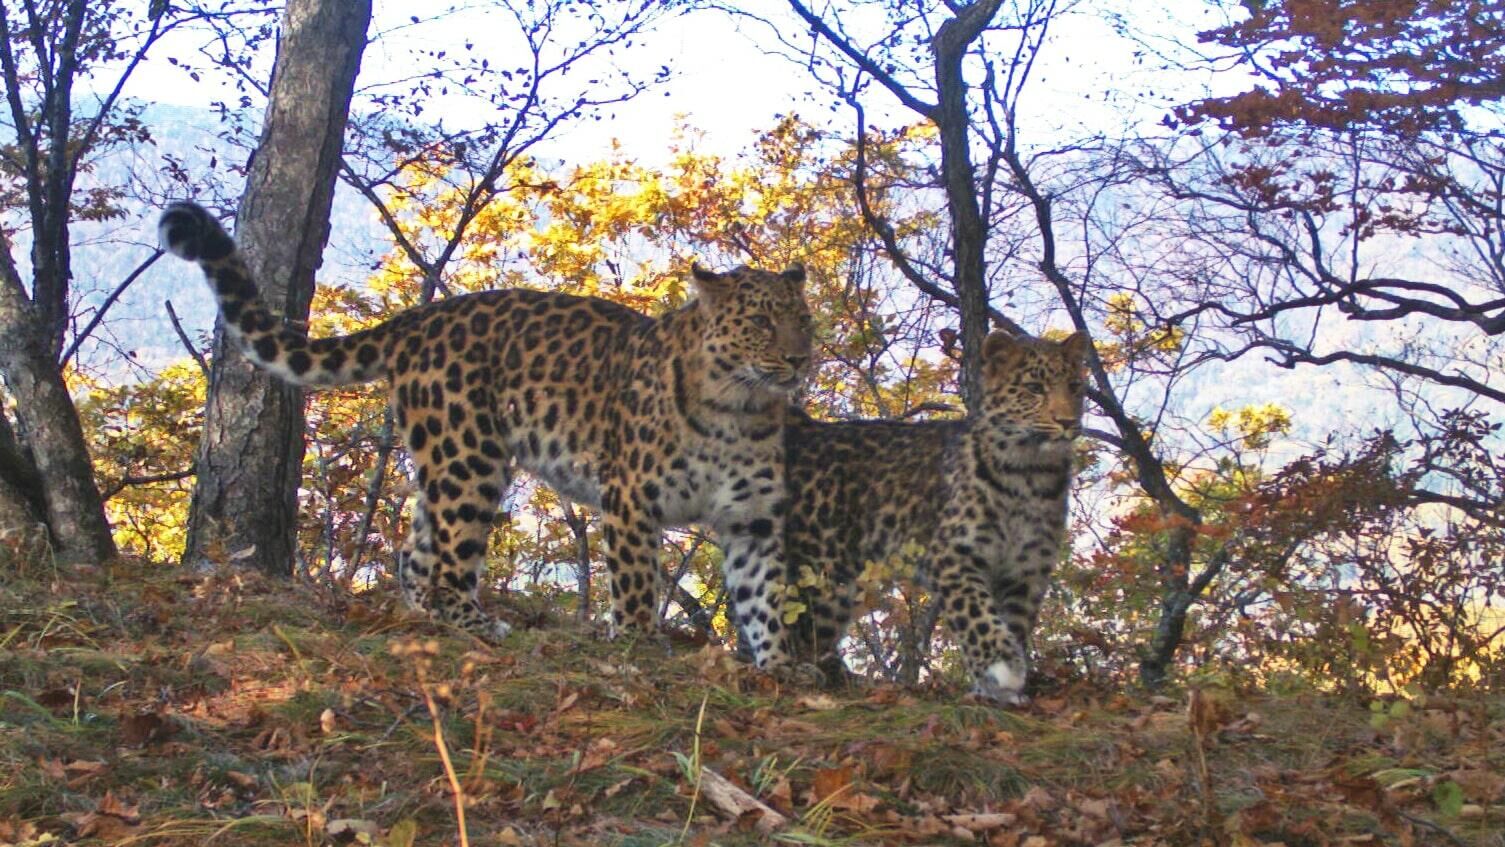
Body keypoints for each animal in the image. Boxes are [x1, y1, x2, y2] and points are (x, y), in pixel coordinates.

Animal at [160, 200, 818, 670]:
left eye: (803, 319)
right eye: (761, 322)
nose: (799, 358)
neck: (739, 408)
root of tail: (420, 319)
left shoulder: (754, 519)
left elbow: (766, 596)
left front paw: (782, 669)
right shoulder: (632, 497)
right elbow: (635, 580)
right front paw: (636, 643)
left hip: (449, 460)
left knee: (415, 554)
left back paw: (421, 618)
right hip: (468, 458)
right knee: (449, 565)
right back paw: (476, 625)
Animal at [782, 330, 1089, 704]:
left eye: (1075, 386)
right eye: (1034, 387)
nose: (1068, 422)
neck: (1030, 473)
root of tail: (808, 431)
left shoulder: (1027, 570)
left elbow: (1013, 622)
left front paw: (996, 687)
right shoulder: (951, 555)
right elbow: (977, 613)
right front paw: (1001, 666)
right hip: (820, 566)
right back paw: (799, 674)